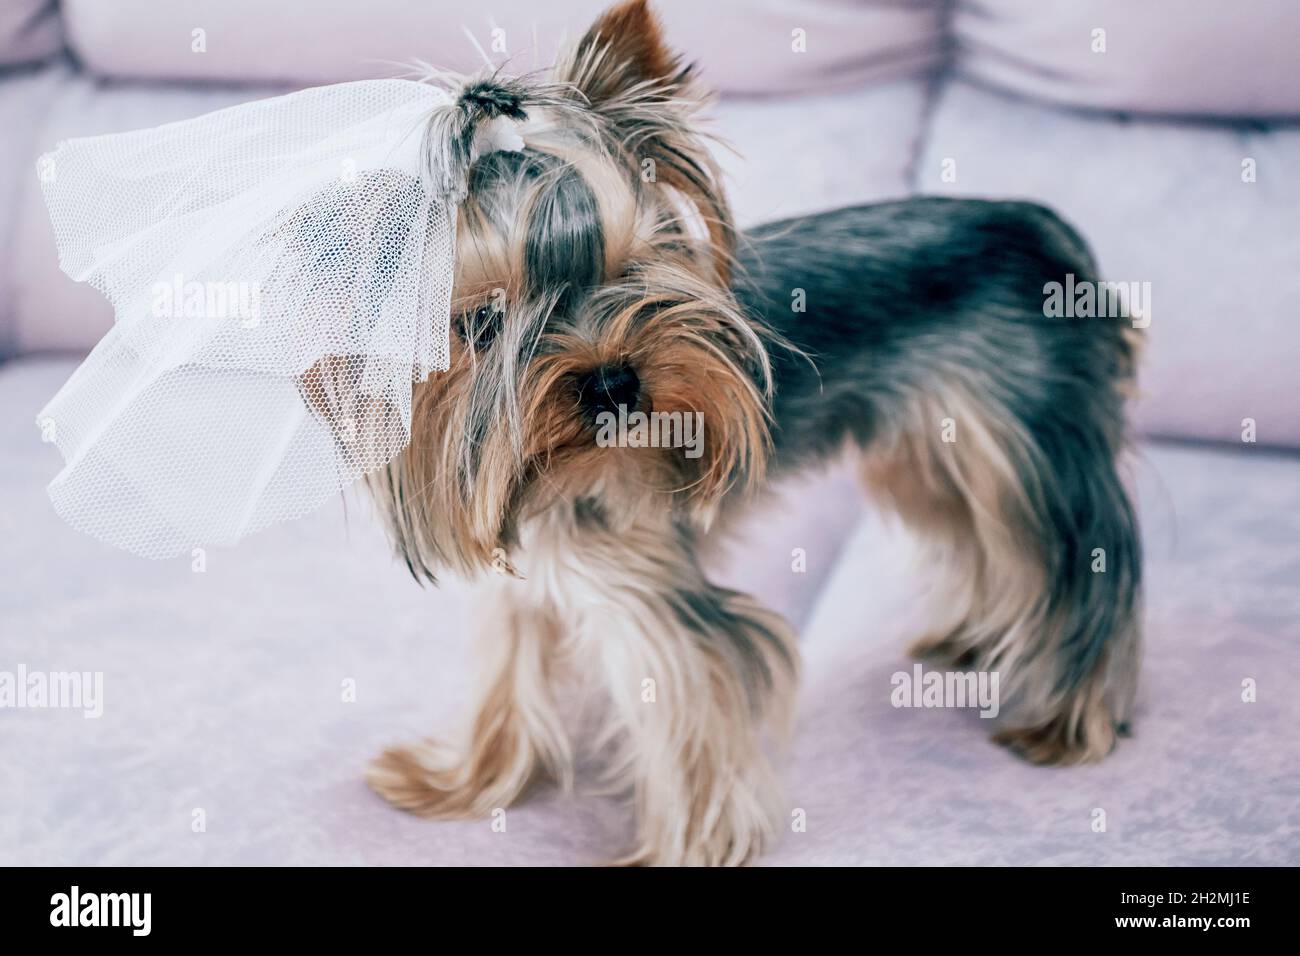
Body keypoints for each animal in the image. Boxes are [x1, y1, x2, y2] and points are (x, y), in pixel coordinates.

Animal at [361, 1, 1144, 868]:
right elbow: (508, 681)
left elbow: (693, 707)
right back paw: (977, 642)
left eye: (628, 274)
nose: (613, 382)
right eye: (482, 324)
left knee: (1078, 564)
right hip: (928, 453)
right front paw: (459, 783)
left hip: (1027, 443)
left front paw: (678, 851)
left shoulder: (652, 591)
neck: (556, 479)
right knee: (986, 541)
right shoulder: (519, 577)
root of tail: (1043, 229)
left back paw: (1068, 721)